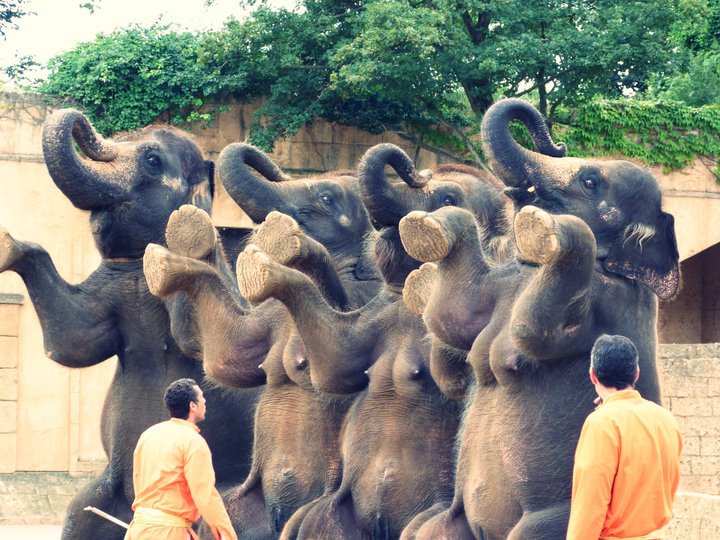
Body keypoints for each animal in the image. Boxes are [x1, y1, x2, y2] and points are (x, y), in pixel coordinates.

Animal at [0, 109, 258, 540]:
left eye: (152, 160)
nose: (81, 119)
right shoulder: (109, 285)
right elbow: (73, 342)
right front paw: (9, 245)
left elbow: (211, 348)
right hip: (105, 492)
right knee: (79, 513)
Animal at [400, 98, 680, 540]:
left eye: (589, 181)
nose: (558, 142)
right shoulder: (508, 282)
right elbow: (456, 315)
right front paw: (424, 234)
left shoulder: (611, 299)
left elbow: (535, 332)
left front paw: (541, 226)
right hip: (455, 519)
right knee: (428, 527)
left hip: (555, 518)